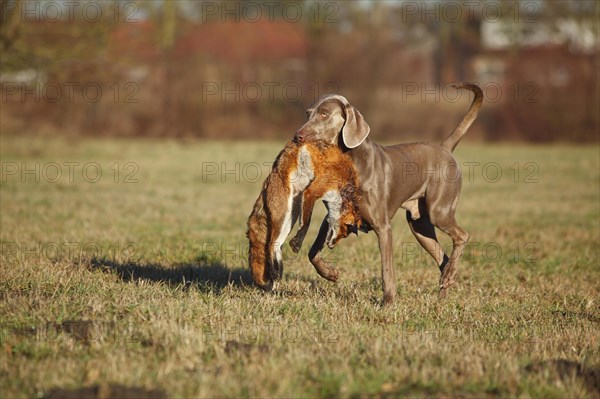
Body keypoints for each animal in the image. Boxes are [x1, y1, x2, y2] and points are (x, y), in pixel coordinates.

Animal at [245, 141, 358, 290]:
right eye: (344, 234)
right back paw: (275, 276)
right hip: (285, 212)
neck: (345, 188)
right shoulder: (313, 191)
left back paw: (276, 275)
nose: (331, 246)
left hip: (292, 212)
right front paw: (297, 242)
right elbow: (306, 223)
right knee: (271, 244)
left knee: (276, 245)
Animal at [290, 83, 482, 304]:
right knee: (443, 258)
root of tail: (444, 149)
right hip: (419, 226)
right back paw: (444, 289)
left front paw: (388, 302)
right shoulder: (334, 216)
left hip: (439, 210)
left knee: (462, 236)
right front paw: (330, 273)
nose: (297, 137)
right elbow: (312, 252)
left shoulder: (383, 227)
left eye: (324, 114)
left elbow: (386, 269)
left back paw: (448, 277)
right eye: (308, 114)